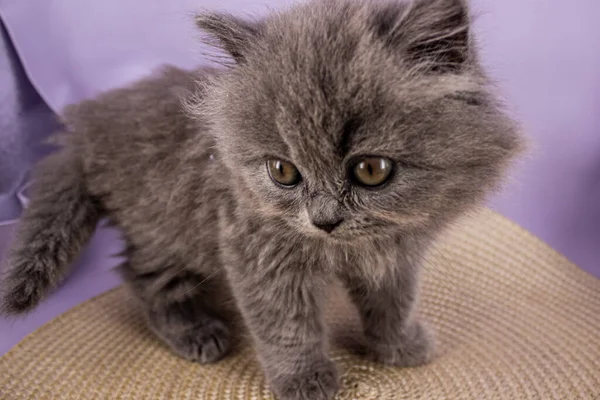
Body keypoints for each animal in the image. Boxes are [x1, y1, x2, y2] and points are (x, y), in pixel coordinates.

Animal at [0, 0, 524, 400]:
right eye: (283, 171)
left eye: (371, 170)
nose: (323, 219)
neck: (348, 247)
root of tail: (83, 132)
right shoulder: (256, 248)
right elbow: (285, 324)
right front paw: (303, 379)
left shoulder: (397, 253)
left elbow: (392, 301)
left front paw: (395, 346)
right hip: (165, 224)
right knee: (143, 275)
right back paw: (194, 329)